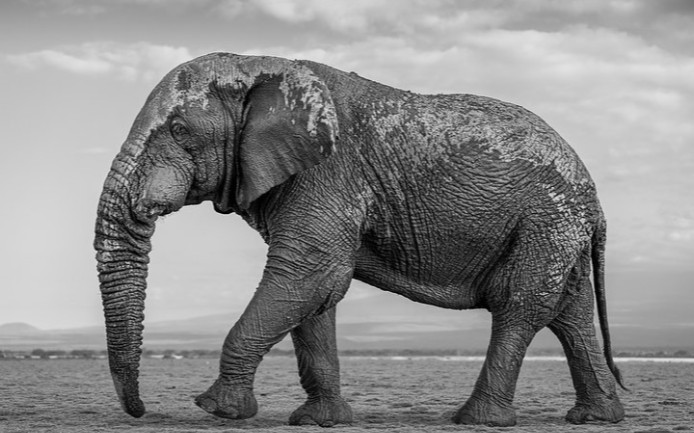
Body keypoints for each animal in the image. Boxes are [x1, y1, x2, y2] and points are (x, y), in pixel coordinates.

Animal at [94, 52, 625, 427]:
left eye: (180, 129)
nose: (140, 411)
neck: (257, 67)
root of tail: (595, 195)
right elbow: (317, 291)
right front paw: (319, 421)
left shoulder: (328, 172)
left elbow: (309, 272)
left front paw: (217, 410)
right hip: (558, 228)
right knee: (571, 315)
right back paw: (595, 417)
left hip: (547, 219)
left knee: (520, 306)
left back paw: (477, 420)